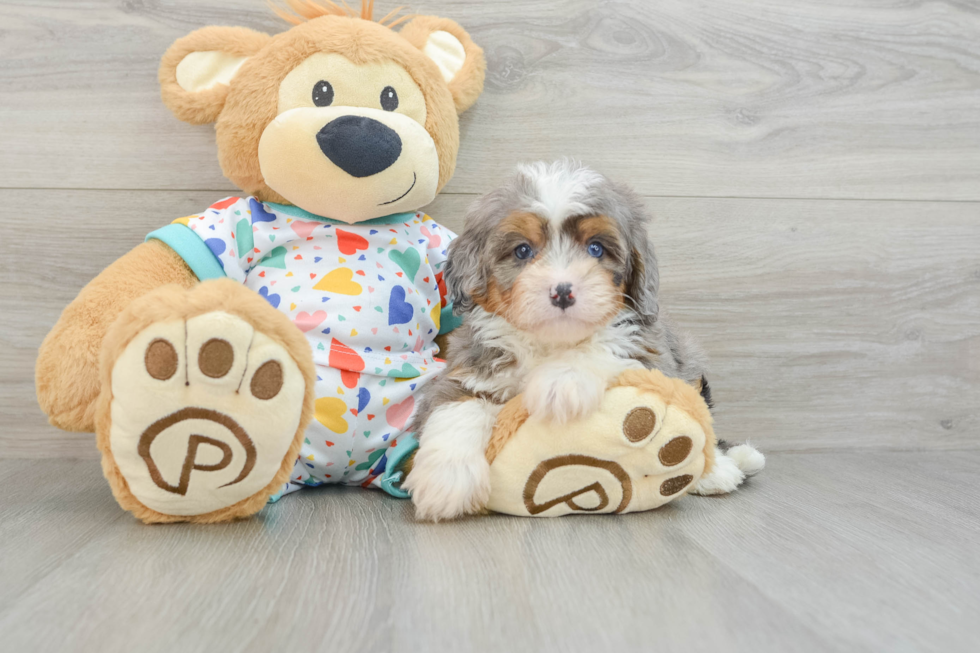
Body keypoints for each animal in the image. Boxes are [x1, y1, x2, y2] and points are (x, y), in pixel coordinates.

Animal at [406, 159, 764, 520]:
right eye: (522, 250)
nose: (562, 291)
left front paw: (561, 383)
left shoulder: (650, 351)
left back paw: (723, 469)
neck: (551, 343)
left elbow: (607, 345)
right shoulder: (470, 366)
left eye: (596, 248)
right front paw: (447, 480)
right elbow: (454, 405)